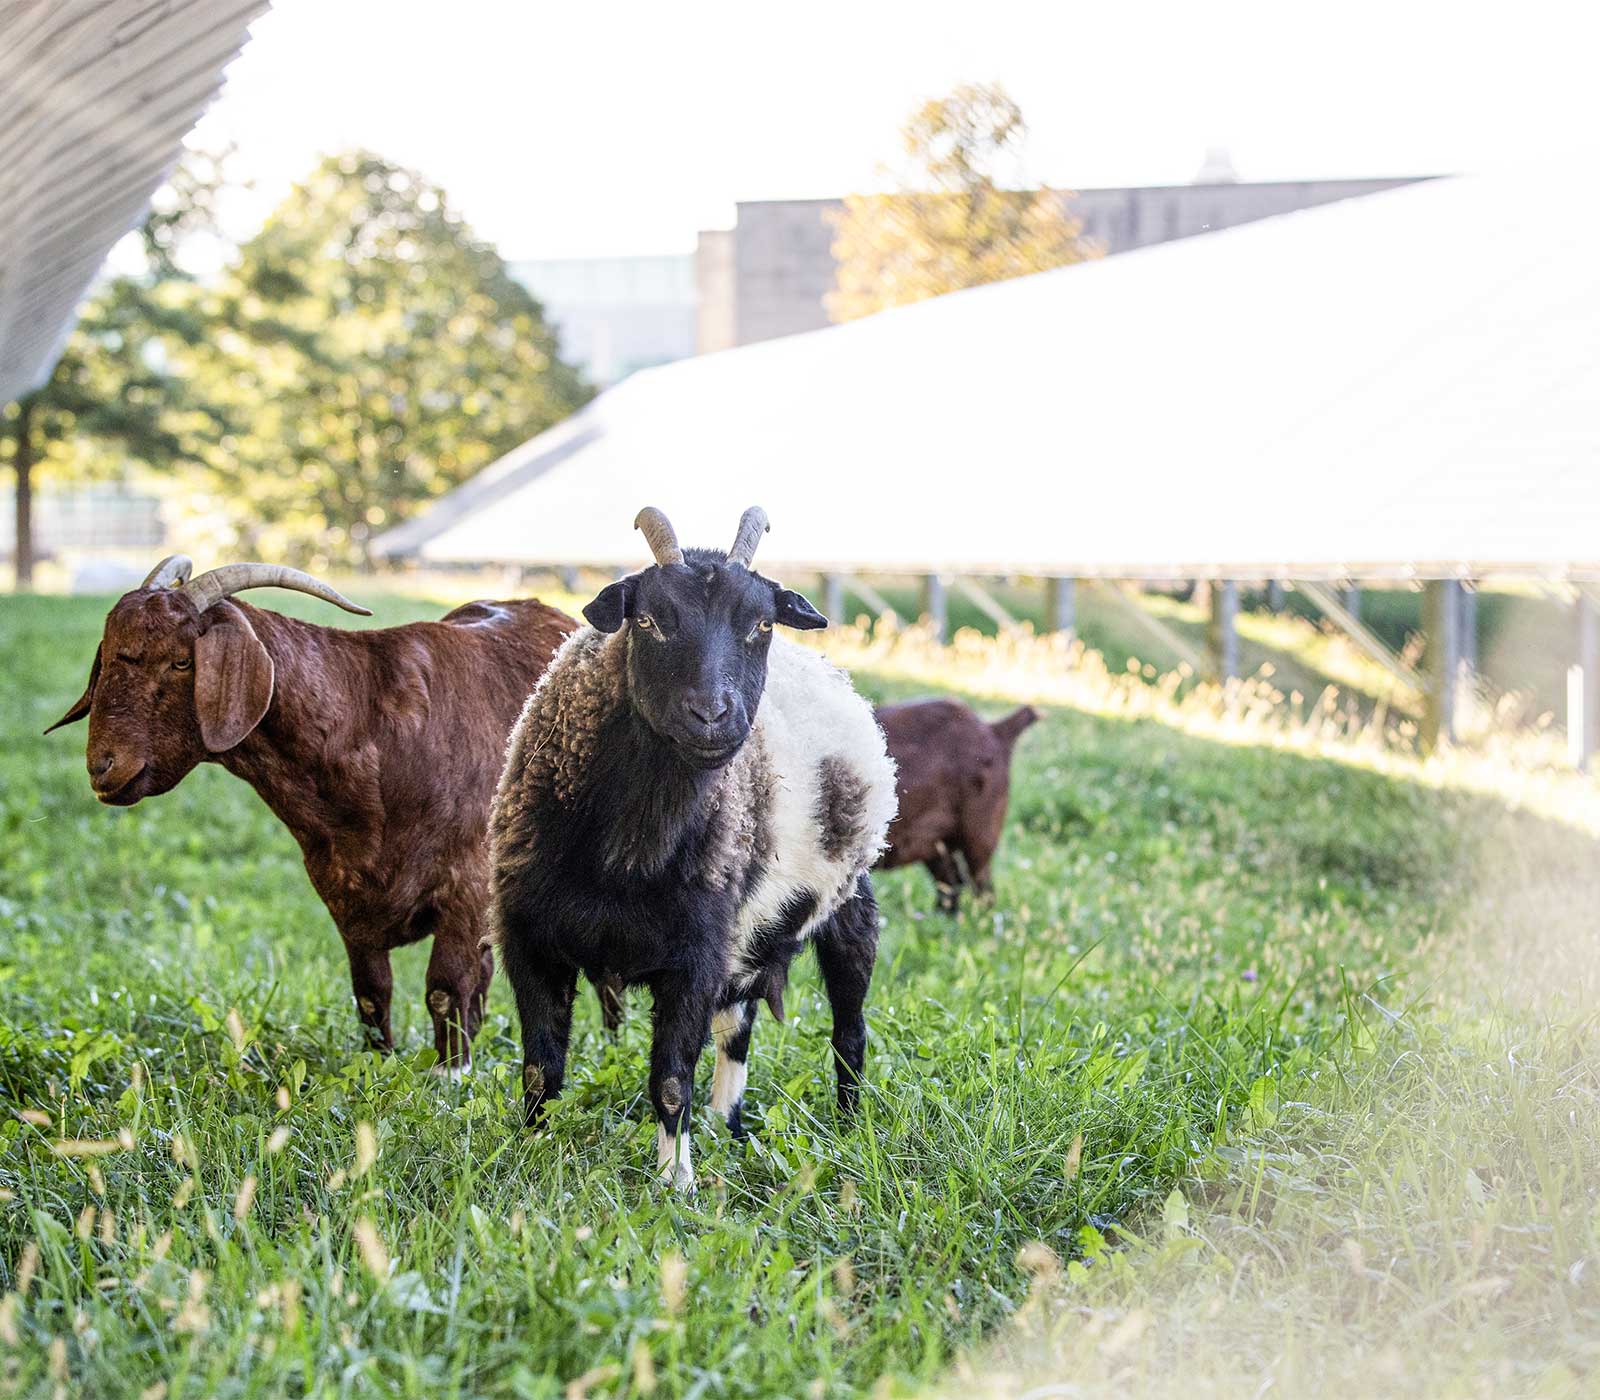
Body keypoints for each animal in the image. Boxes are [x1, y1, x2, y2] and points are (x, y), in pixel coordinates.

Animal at [48, 555, 576, 1069]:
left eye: (181, 661)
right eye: (106, 656)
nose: (104, 767)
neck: (371, 727)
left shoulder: (464, 886)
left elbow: (445, 989)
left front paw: (450, 1076)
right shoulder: (345, 897)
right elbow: (372, 993)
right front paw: (380, 1068)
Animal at [490, 507, 896, 1190]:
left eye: (761, 623)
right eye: (648, 620)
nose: (712, 715)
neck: (627, 852)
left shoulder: (696, 952)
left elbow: (671, 1080)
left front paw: (674, 1182)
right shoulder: (528, 937)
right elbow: (540, 1068)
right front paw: (525, 1156)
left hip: (844, 903)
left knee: (849, 1029)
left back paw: (845, 1126)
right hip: (747, 930)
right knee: (738, 1026)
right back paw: (725, 1123)